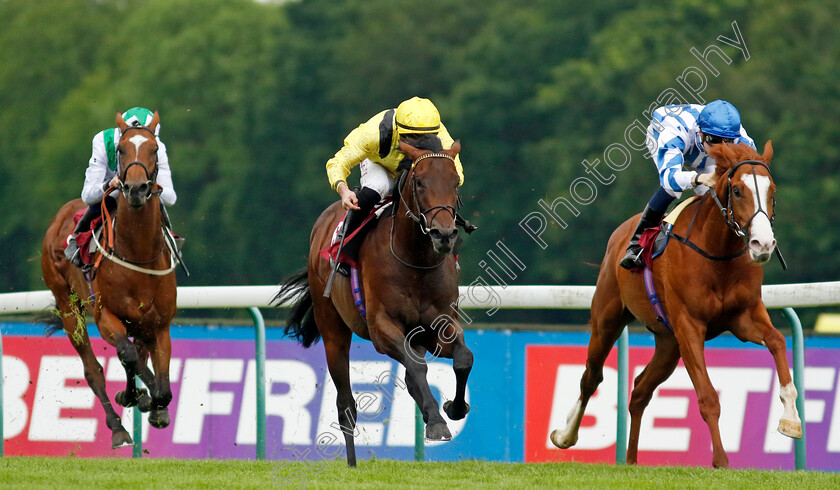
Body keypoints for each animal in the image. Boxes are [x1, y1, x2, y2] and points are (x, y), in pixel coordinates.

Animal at [41, 111, 176, 448]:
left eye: (155, 149)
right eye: (121, 150)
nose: (137, 188)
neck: (138, 254)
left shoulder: (160, 323)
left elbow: (162, 383)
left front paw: (154, 404)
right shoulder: (105, 317)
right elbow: (128, 356)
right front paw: (135, 396)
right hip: (68, 305)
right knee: (93, 368)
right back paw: (118, 426)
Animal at [276, 139, 472, 468]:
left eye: (455, 182)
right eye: (420, 182)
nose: (443, 235)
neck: (417, 260)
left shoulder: (437, 327)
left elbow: (463, 358)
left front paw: (453, 408)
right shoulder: (382, 328)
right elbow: (417, 367)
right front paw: (436, 422)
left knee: (411, 376)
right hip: (333, 330)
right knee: (346, 404)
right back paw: (352, 462)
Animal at [552, 141, 800, 468]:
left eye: (772, 190)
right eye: (737, 191)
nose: (763, 244)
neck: (717, 253)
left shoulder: (744, 317)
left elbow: (778, 341)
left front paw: (790, 418)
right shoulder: (689, 326)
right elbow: (708, 398)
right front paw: (721, 461)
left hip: (668, 344)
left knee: (640, 390)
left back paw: (631, 461)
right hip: (608, 320)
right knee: (591, 377)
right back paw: (565, 436)